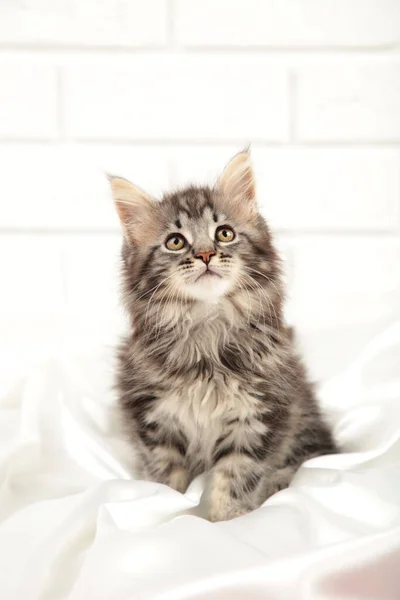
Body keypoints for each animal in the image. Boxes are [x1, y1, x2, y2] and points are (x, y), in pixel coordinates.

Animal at [110, 152, 338, 524]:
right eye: (175, 241)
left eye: (224, 233)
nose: (205, 255)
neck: (207, 327)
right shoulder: (153, 416)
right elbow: (164, 474)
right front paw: (164, 508)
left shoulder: (258, 414)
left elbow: (236, 476)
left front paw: (227, 521)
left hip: (304, 418)